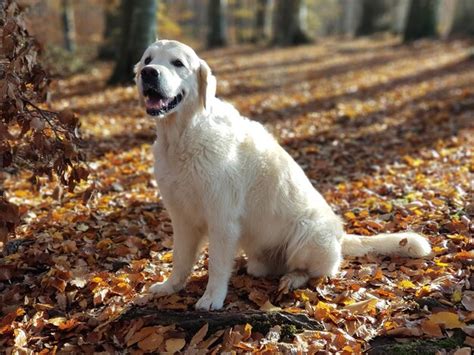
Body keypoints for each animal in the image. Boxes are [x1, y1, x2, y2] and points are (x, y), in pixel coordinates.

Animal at [135, 39, 432, 312]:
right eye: (148, 59)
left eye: (178, 63)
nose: (148, 73)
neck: (182, 136)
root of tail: (339, 236)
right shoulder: (181, 217)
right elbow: (181, 258)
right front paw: (170, 287)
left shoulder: (222, 218)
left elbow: (217, 265)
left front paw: (211, 298)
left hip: (307, 234)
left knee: (318, 272)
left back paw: (292, 279)